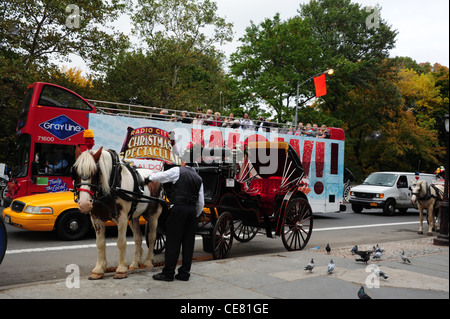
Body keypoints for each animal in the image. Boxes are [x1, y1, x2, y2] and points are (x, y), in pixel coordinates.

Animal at [74, 148, 163, 280]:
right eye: (75, 172)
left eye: (96, 172)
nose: (84, 204)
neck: (112, 185)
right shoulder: (96, 219)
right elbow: (100, 243)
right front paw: (99, 269)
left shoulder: (121, 218)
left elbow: (121, 242)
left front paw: (121, 269)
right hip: (134, 217)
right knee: (137, 238)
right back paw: (135, 264)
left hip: (153, 215)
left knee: (152, 237)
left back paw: (148, 262)